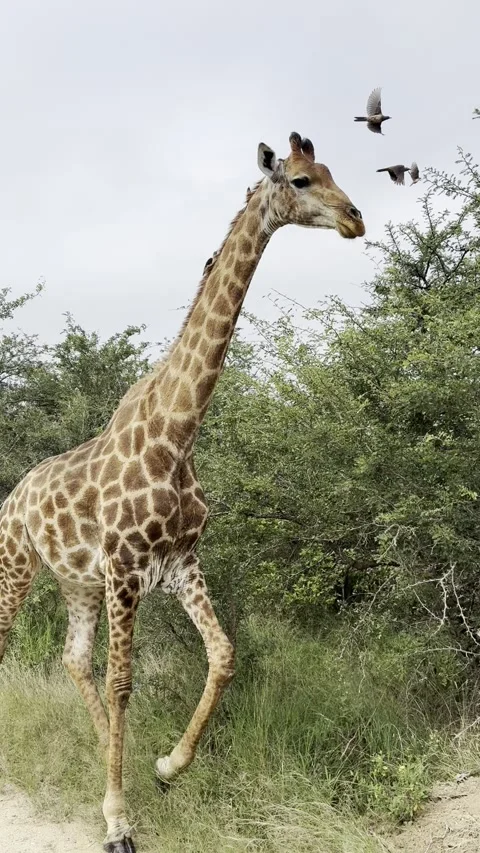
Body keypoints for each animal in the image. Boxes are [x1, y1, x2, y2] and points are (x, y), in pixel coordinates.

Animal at [0, 132, 365, 852]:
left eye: (334, 171)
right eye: (302, 180)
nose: (354, 218)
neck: (178, 433)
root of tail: (13, 496)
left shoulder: (178, 563)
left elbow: (222, 655)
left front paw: (165, 767)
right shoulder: (126, 567)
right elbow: (124, 681)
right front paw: (118, 820)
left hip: (76, 582)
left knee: (72, 658)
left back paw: (108, 757)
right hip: (18, 566)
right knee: (20, 648)